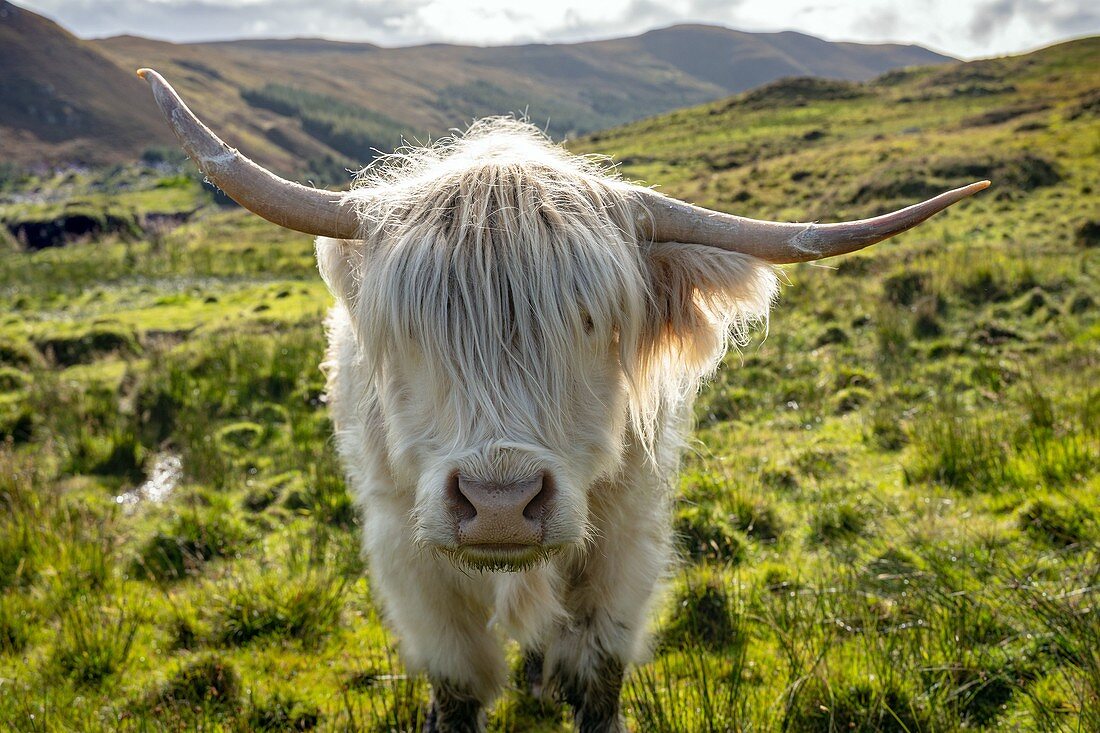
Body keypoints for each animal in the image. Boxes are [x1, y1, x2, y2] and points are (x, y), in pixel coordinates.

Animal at [137, 69, 990, 730]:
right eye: (414, 326)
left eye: (588, 321)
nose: (501, 504)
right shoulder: (409, 557)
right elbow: (456, 684)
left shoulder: (626, 540)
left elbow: (598, 673)